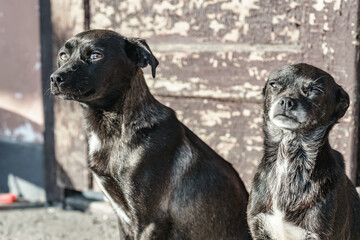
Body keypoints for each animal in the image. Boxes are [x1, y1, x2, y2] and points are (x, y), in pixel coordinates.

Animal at [50, 29, 250, 239]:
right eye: (63, 55)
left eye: (96, 55)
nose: (55, 78)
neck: (113, 133)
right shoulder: (123, 218)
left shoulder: (149, 222)